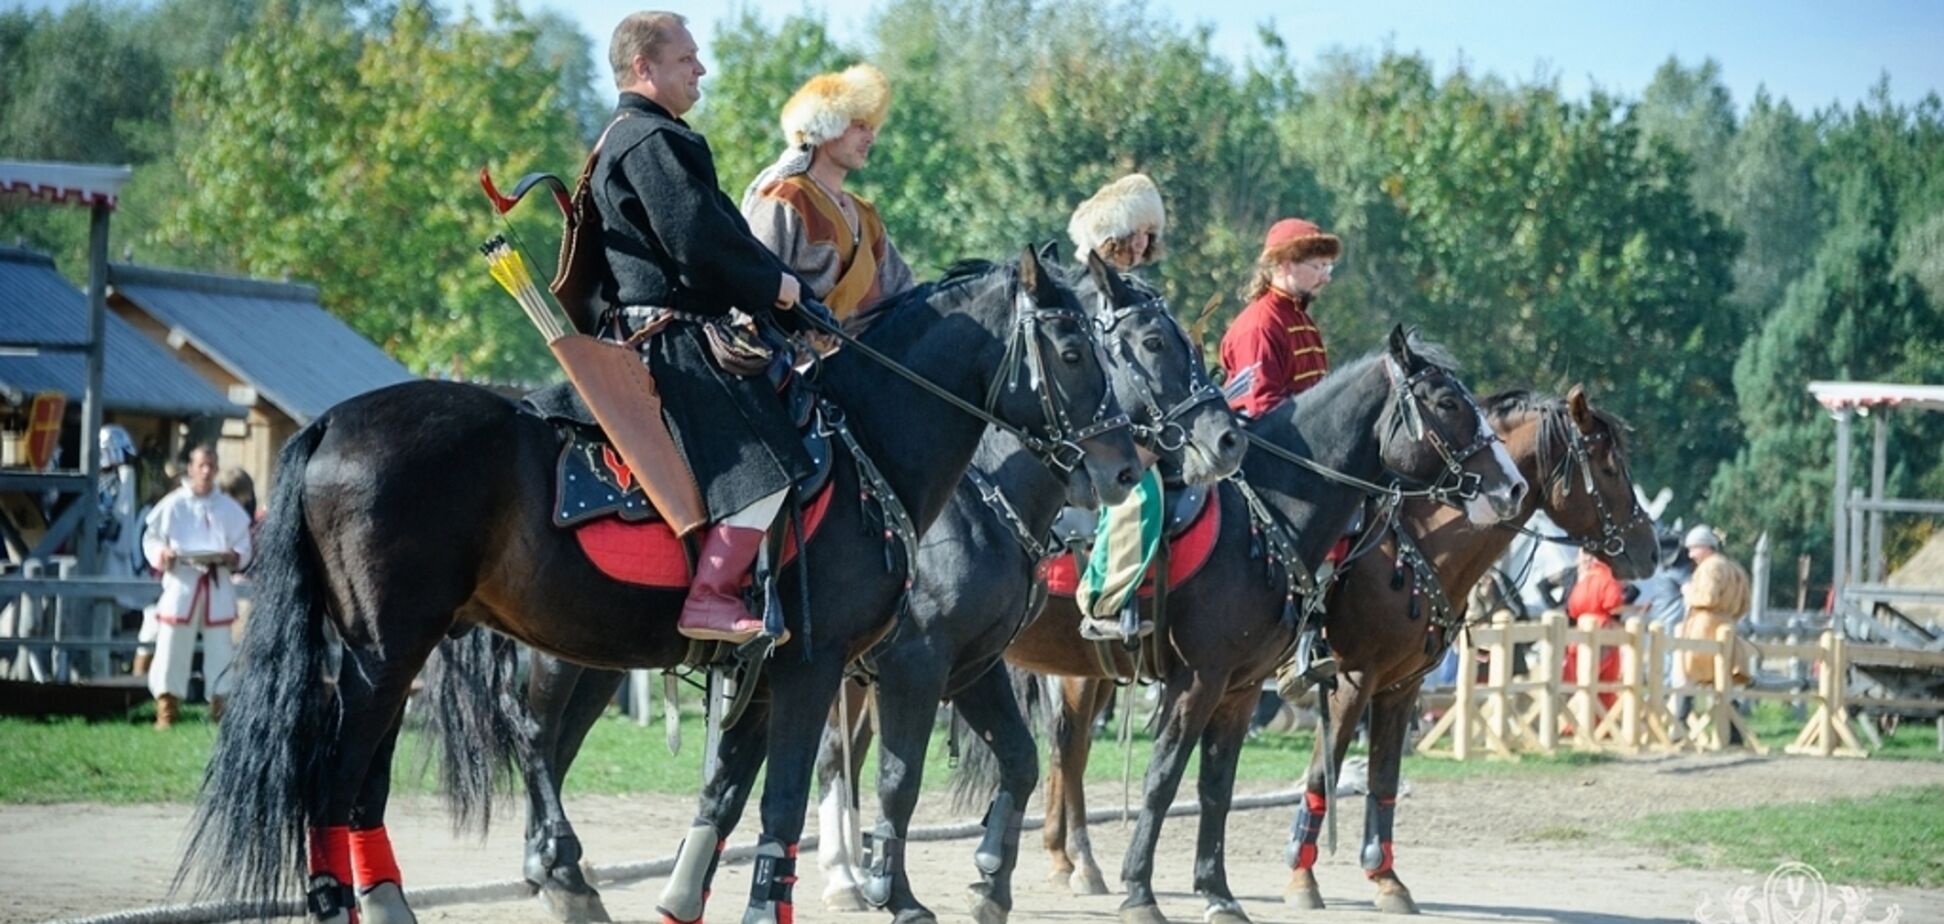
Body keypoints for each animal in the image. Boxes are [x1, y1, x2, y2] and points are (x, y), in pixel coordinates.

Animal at [171, 248, 1135, 924]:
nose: (1126, 465)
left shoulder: (786, 673)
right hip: (390, 654)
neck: (866, 439)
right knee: (349, 777)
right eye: (1074, 347)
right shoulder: (834, 667)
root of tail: (334, 422)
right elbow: (805, 794)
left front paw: (683, 896)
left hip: (414, 655)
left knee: (378, 780)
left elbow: (729, 789)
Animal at [421, 258, 1244, 924]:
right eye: (1141, 344)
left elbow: (1015, 759)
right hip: (567, 651)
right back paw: (566, 867)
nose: (1224, 439)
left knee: (553, 746)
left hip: (601, 654)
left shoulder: (966, 671)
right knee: (534, 734)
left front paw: (985, 882)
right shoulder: (906, 668)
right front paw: (892, 890)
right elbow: (894, 780)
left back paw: (558, 870)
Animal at [1290, 387, 1656, 914]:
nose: (1651, 550)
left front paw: (1386, 879)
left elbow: (1383, 780)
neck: (1412, 547)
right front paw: (1302, 877)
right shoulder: (1350, 682)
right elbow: (1323, 772)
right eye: (1608, 467)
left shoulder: (1399, 688)